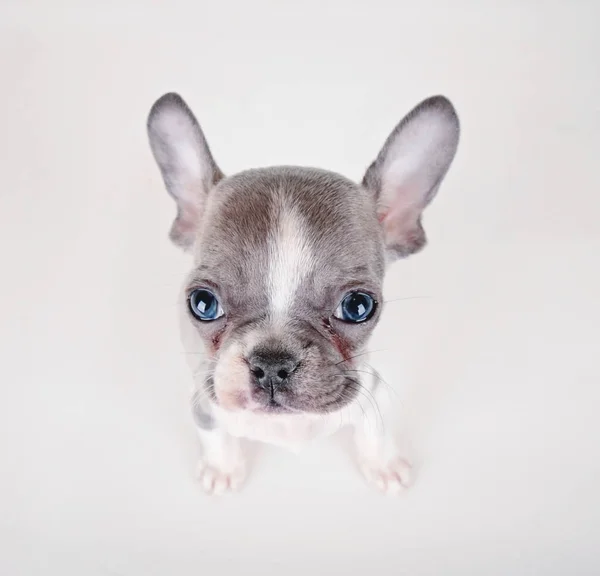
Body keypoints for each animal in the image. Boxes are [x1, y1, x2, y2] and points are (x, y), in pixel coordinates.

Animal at [146, 92, 460, 492]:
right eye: (203, 304)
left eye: (358, 306)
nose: (271, 364)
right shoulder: (204, 402)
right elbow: (214, 435)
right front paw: (223, 468)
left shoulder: (374, 394)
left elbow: (375, 431)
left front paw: (383, 464)